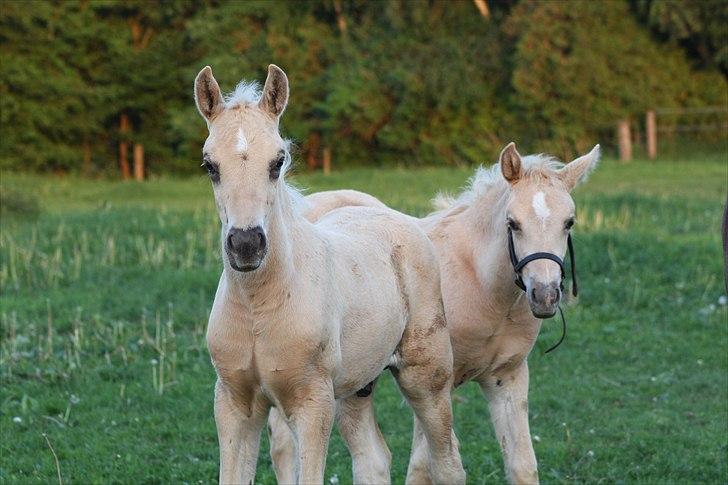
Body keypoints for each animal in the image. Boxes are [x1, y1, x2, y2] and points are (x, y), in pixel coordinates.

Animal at [195, 64, 466, 484]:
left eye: (278, 162)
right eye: (210, 166)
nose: (246, 245)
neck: (259, 306)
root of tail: (396, 216)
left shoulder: (312, 402)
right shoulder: (234, 402)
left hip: (427, 377)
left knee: (448, 460)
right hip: (355, 387)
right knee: (374, 458)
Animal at [270, 142, 600, 482]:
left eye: (569, 222)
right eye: (513, 223)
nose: (545, 295)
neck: (483, 287)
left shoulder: (508, 376)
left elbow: (522, 465)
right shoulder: (436, 379)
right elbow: (423, 466)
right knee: (283, 444)